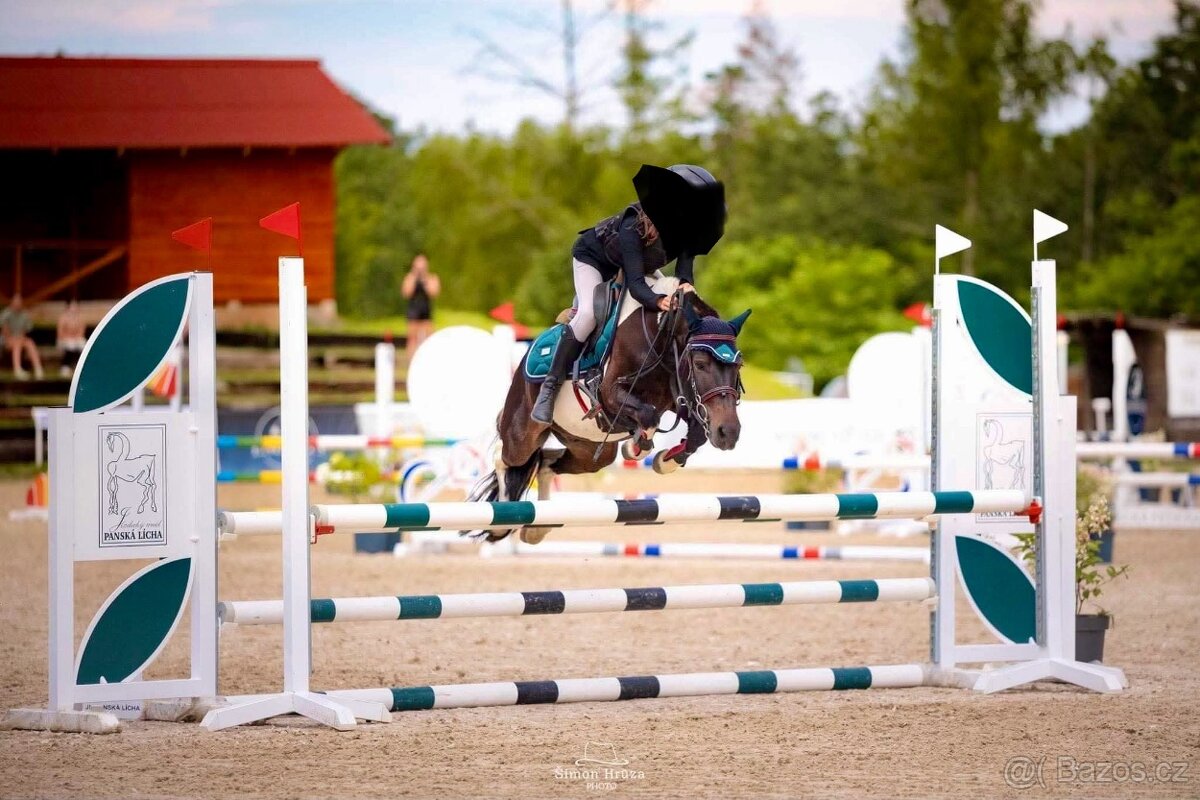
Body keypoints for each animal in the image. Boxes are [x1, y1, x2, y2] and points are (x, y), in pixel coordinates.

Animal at [469, 275, 750, 543]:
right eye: (700, 364)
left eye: (738, 366)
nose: (728, 433)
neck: (661, 335)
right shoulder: (609, 395)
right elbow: (649, 417)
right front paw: (637, 447)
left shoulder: (681, 396)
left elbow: (696, 433)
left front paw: (665, 460)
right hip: (524, 433)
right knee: (507, 457)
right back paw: (502, 522)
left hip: (590, 450)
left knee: (546, 464)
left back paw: (538, 529)